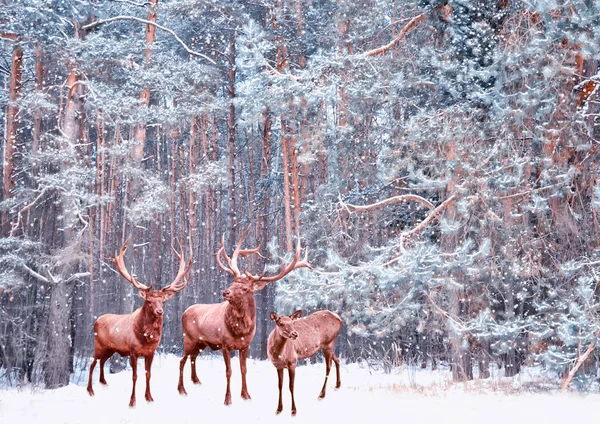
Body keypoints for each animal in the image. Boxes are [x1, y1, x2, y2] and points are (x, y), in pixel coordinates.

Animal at [85, 238, 190, 408]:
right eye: (149, 301)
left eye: (162, 301)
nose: (159, 311)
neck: (146, 338)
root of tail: (96, 320)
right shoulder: (133, 351)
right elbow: (134, 376)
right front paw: (132, 401)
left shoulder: (151, 352)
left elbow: (148, 374)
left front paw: (149, 397)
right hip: (98, 345)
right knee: (92, 363)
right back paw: (90, 390)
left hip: (110, 349)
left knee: (102, 362)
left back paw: (104, 383)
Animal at [177, 227, 310, 406]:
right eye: (233, 282)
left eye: (245, 288)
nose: (225, 292)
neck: (241, 330)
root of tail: (185, 311)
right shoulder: (225, 344)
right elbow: (228, 371)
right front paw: (228, 399)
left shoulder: (245, 345)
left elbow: (244, 369)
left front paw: (246, 395)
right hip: (188, 338)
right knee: (182, 360)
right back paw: (182, 389)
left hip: (201, 343)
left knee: (192, 357)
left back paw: (196, 381)